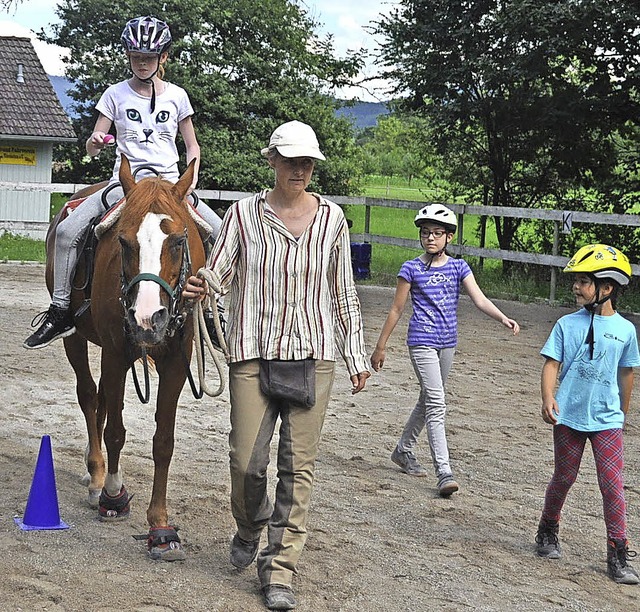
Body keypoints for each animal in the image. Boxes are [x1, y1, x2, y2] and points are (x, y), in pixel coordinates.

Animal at [45, 157, 205, 560]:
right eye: (123, 241)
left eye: (178, 241)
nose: (148, 318)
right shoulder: (117, 352)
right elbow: (115, 430)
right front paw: (113, 495)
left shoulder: (175, 362)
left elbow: (163, 441)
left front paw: (161, 526)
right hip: (77, 340)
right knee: (89, 396)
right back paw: (97, 476)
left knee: (101, 399)